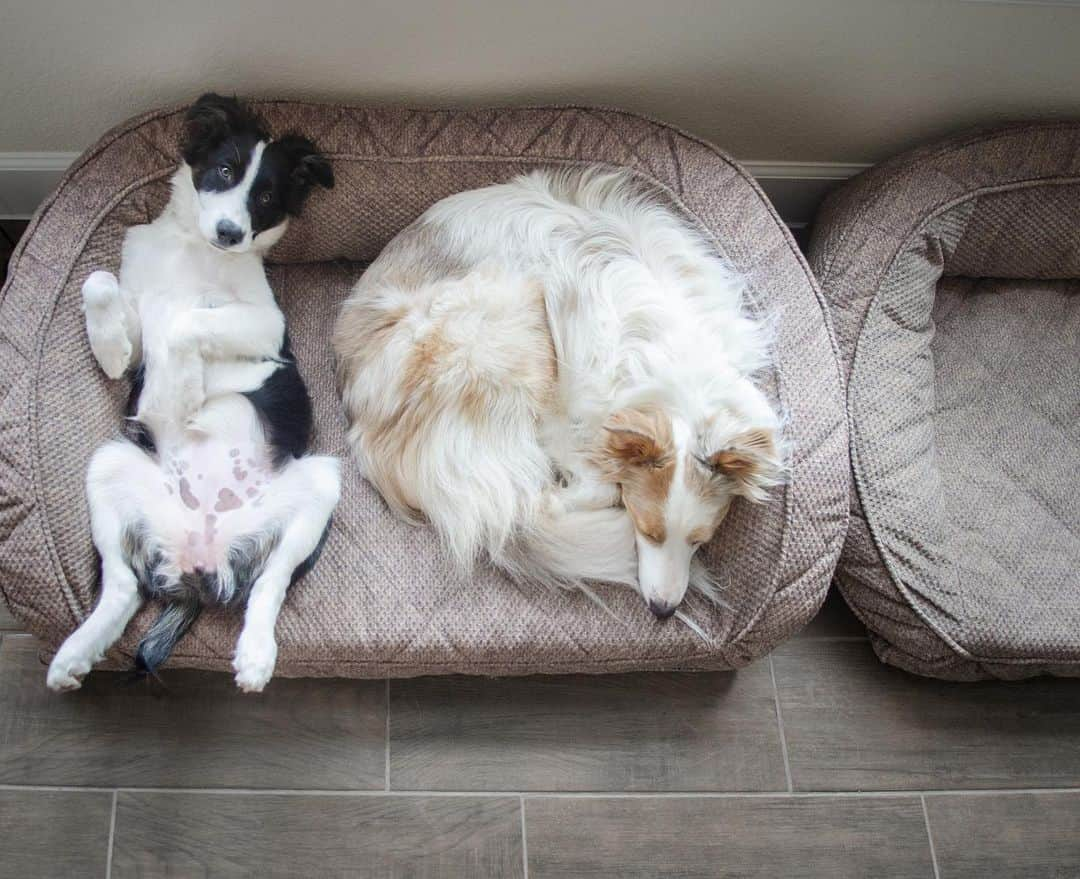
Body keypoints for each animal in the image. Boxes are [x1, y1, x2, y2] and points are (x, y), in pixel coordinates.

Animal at [46, 94, 339, 695]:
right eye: (224, 171)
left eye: (266, 197)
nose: (230, 232)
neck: (193, 250)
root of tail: (198, 562)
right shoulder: (137, 309)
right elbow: (101, 286)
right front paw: (117, 355)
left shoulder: (265, 324)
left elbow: (186, 323)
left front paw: (179, 394)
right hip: (107, 464)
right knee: (122, 586)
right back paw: (75, 655)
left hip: (323, 481)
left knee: (269, 583)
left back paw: (255, 657)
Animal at [332, 167, 781, 617]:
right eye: (646, 529)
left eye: (700, 540)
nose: (663, 611)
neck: (673, 361)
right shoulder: (566, 411)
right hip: (508, 316)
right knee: (527, 507)